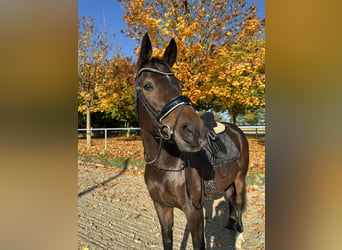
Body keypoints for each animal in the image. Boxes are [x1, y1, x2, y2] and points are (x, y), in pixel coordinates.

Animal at [135, 33, 250, 250]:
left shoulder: (194, 212)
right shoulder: (162, 207)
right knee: (231, 200)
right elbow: (167, 240)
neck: (165, 167)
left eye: (180, 85)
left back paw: (239, 235)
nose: (195, 132)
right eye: (148, 86)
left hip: (240, 179)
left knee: (238, 203)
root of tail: (237, 130)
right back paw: (230, 225)